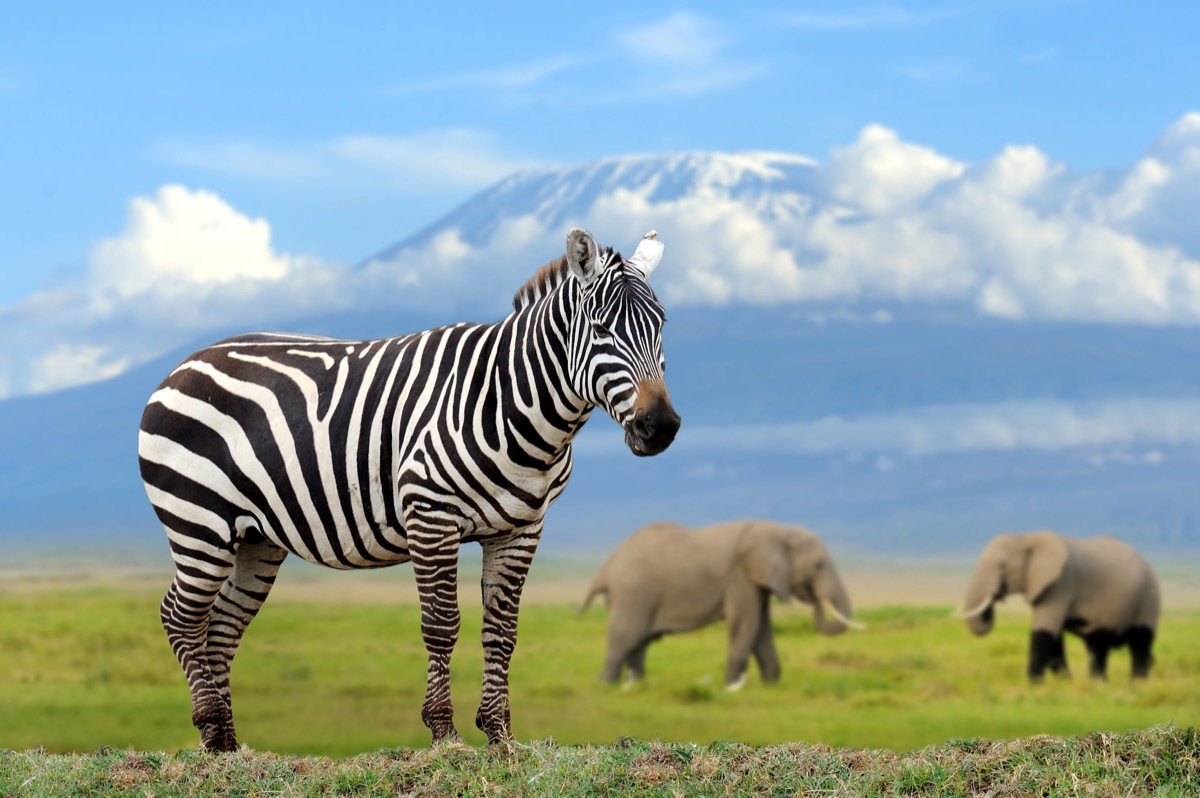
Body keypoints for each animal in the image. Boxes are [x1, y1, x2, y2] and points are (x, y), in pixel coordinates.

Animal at [138, 227, 680, 751]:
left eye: (661, 327)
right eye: (602, 330)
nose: (661, 427)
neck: (510, 401)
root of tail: (185, 363)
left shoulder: (522, 528)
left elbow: (502, 631)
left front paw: (501, 733)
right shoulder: (431, 515)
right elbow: (441, 625)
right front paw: (444, 732)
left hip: (256, 537)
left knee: (222, 627)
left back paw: (227, 745)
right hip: (200, 523)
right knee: (180, 616)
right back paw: (210, 725)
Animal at [581, 520, 860, 688]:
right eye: (818, 566)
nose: (813, 597)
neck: (776, 529)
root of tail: (606, 568)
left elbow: (761, 628)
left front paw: (771, 686)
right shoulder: (739, 575)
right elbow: (746, 623)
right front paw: (732, 687)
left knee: (640, 643)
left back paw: (637, 685)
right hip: (633, 593)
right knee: (626, 638)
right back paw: (607, 686)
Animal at [956, 531, 1160, 681]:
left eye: (1003, 566)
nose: (996, 596)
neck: (1026, 538)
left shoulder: (1061, 584)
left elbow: (1044, 631)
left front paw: (1033, 686)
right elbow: (1054, 638)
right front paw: (1064, 683)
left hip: (1149, 597)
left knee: (1140, 643)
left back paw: (1136, 686)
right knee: (1098, 646)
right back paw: (1099, 685)